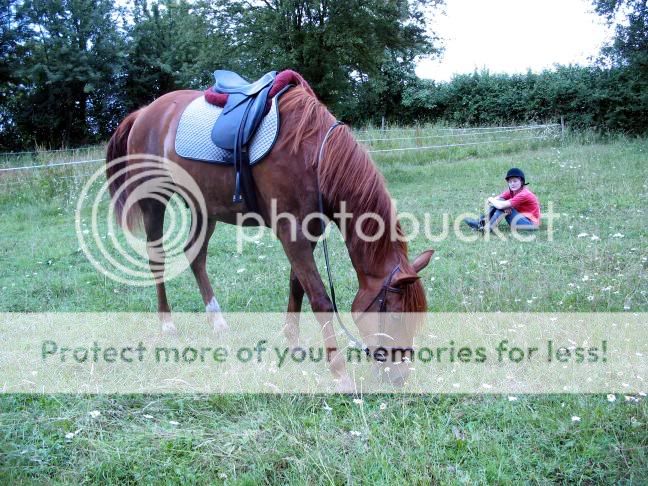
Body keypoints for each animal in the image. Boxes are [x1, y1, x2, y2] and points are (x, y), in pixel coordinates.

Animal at [105, 83, 430, 388]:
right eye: (397, 315)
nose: (398, 377)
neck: (314, 155)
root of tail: (144, 113)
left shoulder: (309, 231)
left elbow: (297, 286)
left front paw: (294, 345)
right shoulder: (292, 233)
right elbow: (320, 300)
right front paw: (339, 373)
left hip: (203, 207)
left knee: (196, 257)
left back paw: (217, 321)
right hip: (153, 201)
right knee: (157, 259)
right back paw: (167, 324)